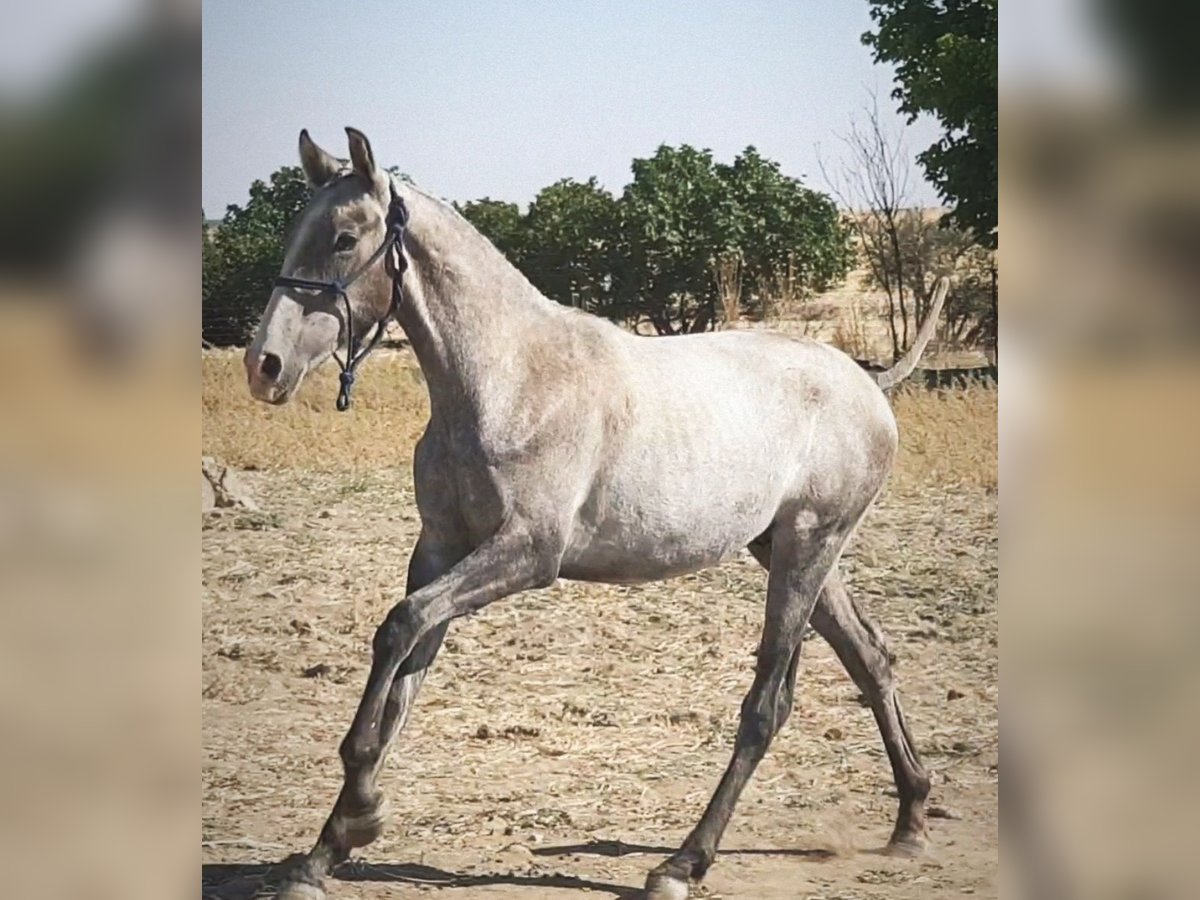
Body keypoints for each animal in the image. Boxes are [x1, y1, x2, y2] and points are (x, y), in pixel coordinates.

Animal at [246, 128, 945, 900]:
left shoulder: (527, 553)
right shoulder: (439, 550)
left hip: (807, 547)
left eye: (344, 238)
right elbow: (403, 672)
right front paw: (326, 849)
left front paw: (361, 813)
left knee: (769, 706)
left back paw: (681, 864)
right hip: (792, 550)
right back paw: (910, 822)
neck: (508, 380)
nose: (264, 365)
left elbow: (399, 628)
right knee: (871, 659)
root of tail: (868, 380)